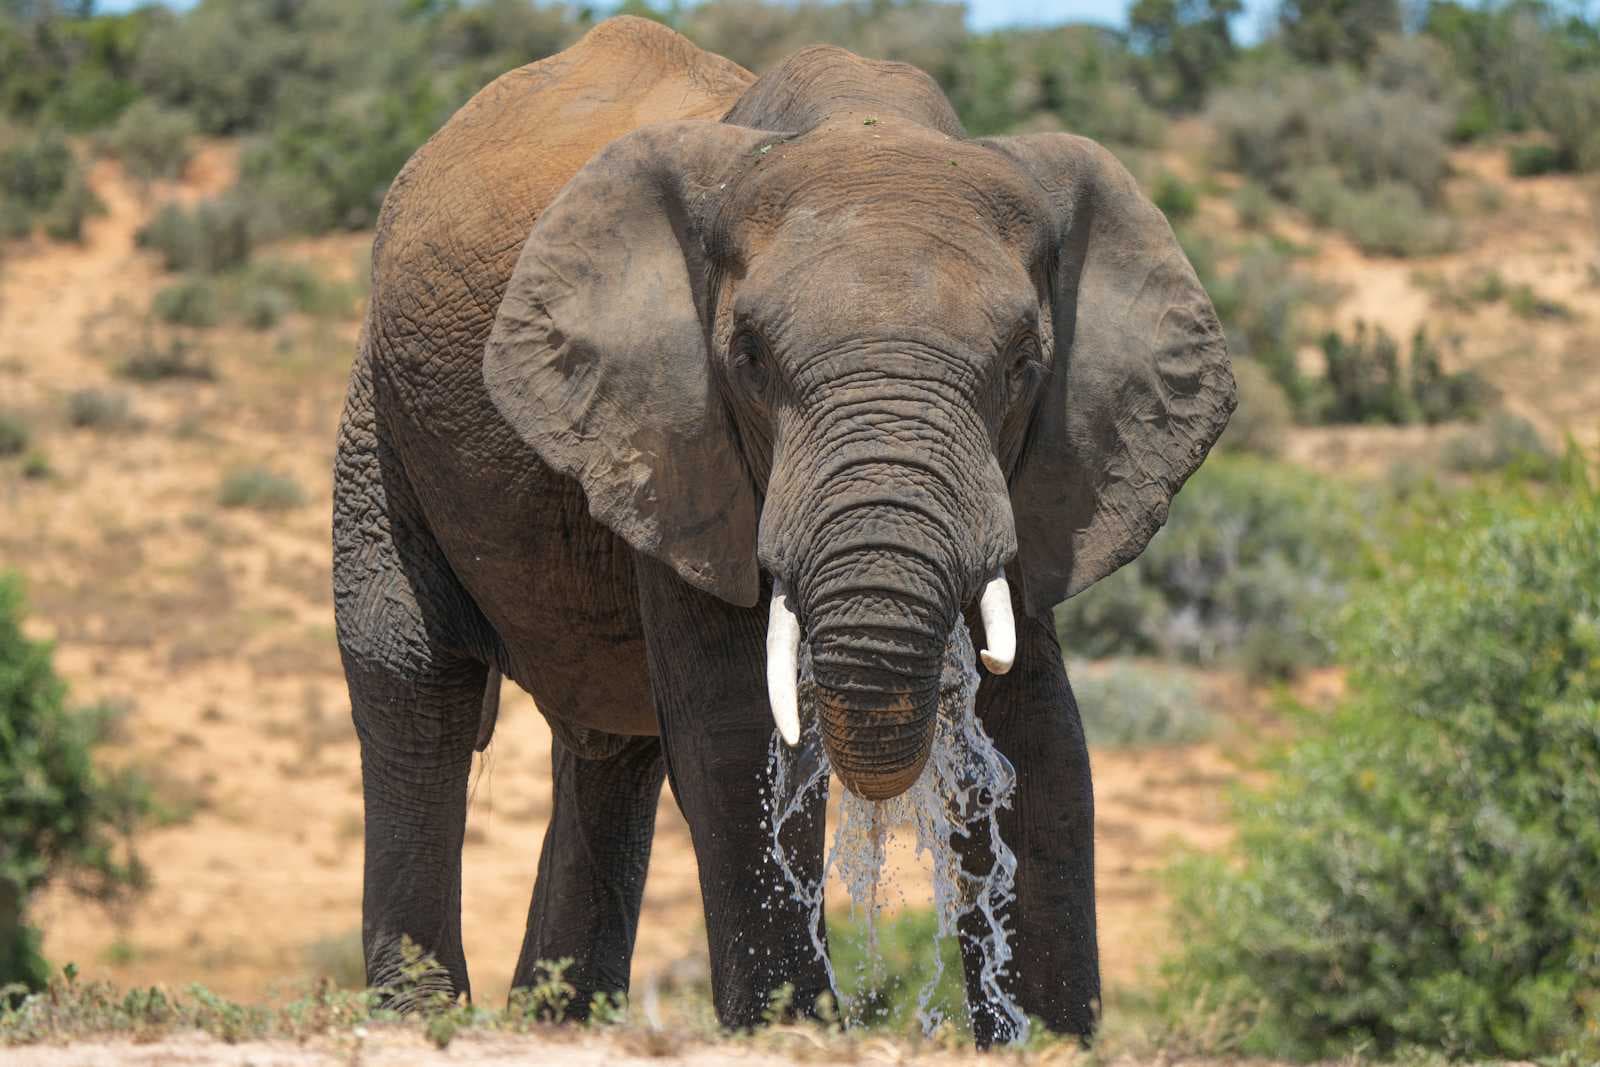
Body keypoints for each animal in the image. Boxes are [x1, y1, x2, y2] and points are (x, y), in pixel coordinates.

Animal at [331, 14, 1234, 1044]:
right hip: (379, 415)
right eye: (751, 358)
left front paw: (1045, 1041)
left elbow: (1043, 736)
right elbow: (735, 731)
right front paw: (788, 1031)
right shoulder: (675, 438)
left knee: (609, 752)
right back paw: (420, 1020)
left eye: (1022, 362)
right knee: (412, 681)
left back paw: (558, 1023)